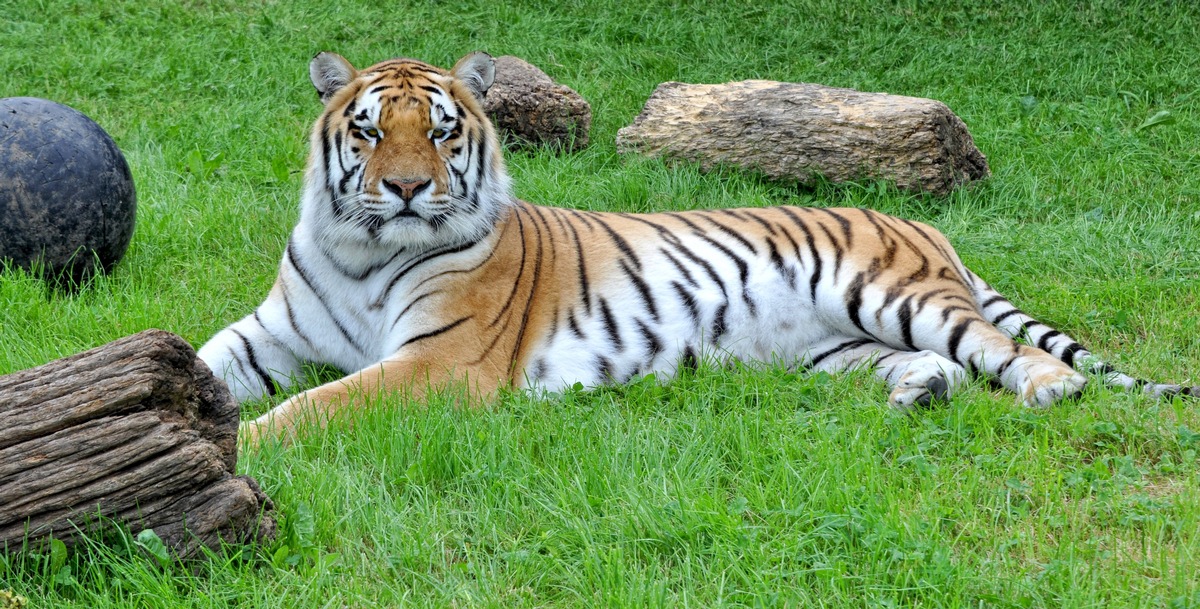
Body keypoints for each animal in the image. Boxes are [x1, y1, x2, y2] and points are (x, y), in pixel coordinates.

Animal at [194, 50, 1190, 445]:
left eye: (439, 132)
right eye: (368, 130)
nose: (406, 188)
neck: (364, 251)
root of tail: (927, 225)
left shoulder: (439, 362)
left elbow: (316, 406)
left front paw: (242, 443)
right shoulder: (272, 333)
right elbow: (207, 363)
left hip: (896, 295)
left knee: (1000, 349)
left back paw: (1047, 389)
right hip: (836, 345)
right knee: (931, 365)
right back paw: (918, 395)